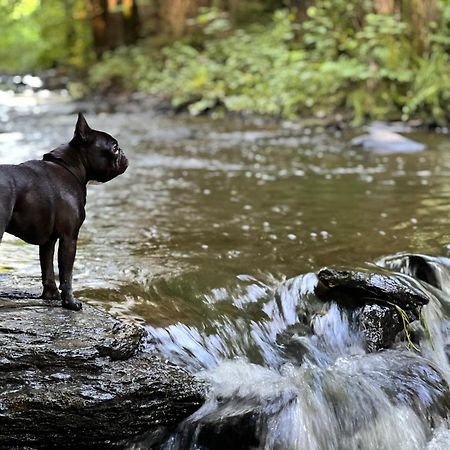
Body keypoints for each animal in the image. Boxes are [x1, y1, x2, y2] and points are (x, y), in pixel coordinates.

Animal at [0, 113, 128, 310]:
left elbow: (47, 268)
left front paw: (51, 296)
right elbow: (66, 275)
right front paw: (70, 303)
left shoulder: (49, 241)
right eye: (114, 148)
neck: (71, 167)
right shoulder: (69, 237)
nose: (123, 153)